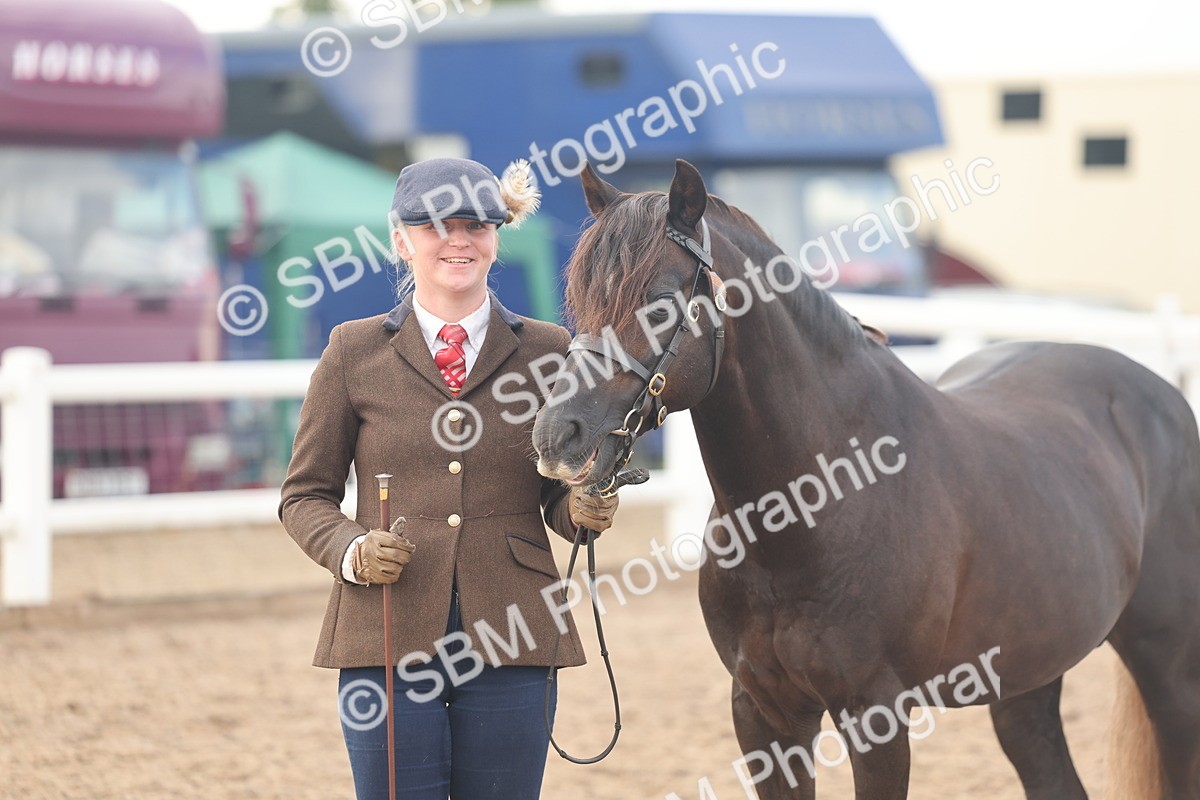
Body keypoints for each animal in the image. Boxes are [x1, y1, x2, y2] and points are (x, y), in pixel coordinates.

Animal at [531, 159, 1200, 799]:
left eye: (663, 301)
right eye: (579, 297)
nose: (557, 437)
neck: (817, 504)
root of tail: (1162, 395)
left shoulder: (875, 715)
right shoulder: (764, 712)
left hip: (1170, 670)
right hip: (1026, 679)